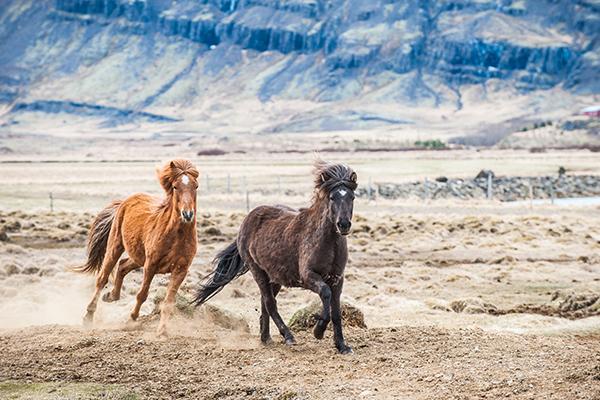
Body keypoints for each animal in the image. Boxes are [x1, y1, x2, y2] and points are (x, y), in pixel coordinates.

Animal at [75, 159, 199, 338]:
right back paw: (89, 316)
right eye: (175, 187)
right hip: (115, 246)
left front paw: (162, 331)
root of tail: (124, 201)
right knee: (102, 278)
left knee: (122, 266)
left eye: (196, 186)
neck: (176, 236)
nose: (187, 214)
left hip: (138, 256)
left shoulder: (180, 270)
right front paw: (131, 320)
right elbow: (142, 295)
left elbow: (168, 302)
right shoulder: (151, 265)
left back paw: (110, 296)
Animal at [195, 159, 356, 354]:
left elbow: (336, 312)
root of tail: (246, 221)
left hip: (275, 278)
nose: (343, 225)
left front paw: (342, 346)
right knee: (270, 303)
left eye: (352, 197)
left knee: (265, 303)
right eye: (332, 197)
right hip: (258, 272)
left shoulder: (337, 279)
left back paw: (266, 338)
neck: (327, 242)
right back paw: (288, 336)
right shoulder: (309, 277)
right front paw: (318, 331)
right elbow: (325, 294)